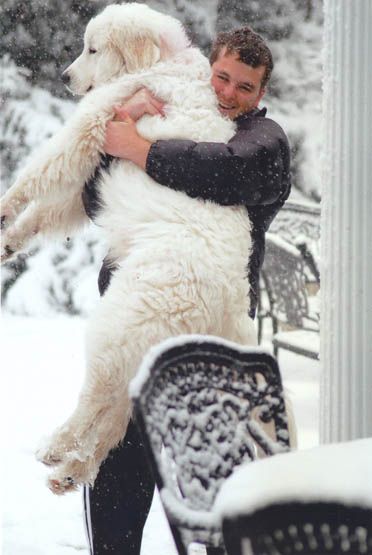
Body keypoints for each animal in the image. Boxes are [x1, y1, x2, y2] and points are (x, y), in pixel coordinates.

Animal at [1, 3, 260, 490]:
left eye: (92, 49)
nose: (64, 77)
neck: (158, 62)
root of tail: (230, 300)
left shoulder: (93, 123)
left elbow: (40, 171)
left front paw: (3, 209)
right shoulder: (94, 171)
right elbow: (50, 212)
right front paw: (8, 242)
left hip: (120, 323)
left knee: (97, 396)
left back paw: (56, 448)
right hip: (142, 345)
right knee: (116, 419)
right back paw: (70, 472)